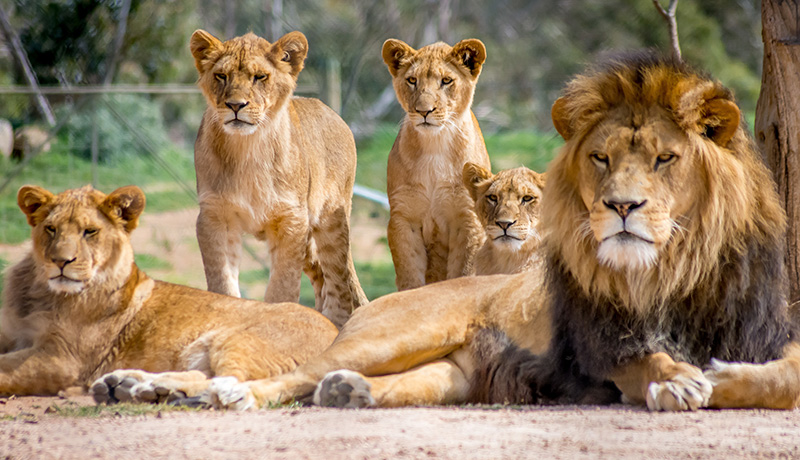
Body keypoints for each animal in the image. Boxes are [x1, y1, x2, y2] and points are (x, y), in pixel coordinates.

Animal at [189, 29, 368, 328]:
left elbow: (282, 287)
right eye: (221, 76)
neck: (247, 149)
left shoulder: (291, 219)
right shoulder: (215, 216)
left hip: (331, 221)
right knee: (322, 278)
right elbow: (222, 282)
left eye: (260, 77)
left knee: (339, 282)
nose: (235, 105)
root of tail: (335, 114)